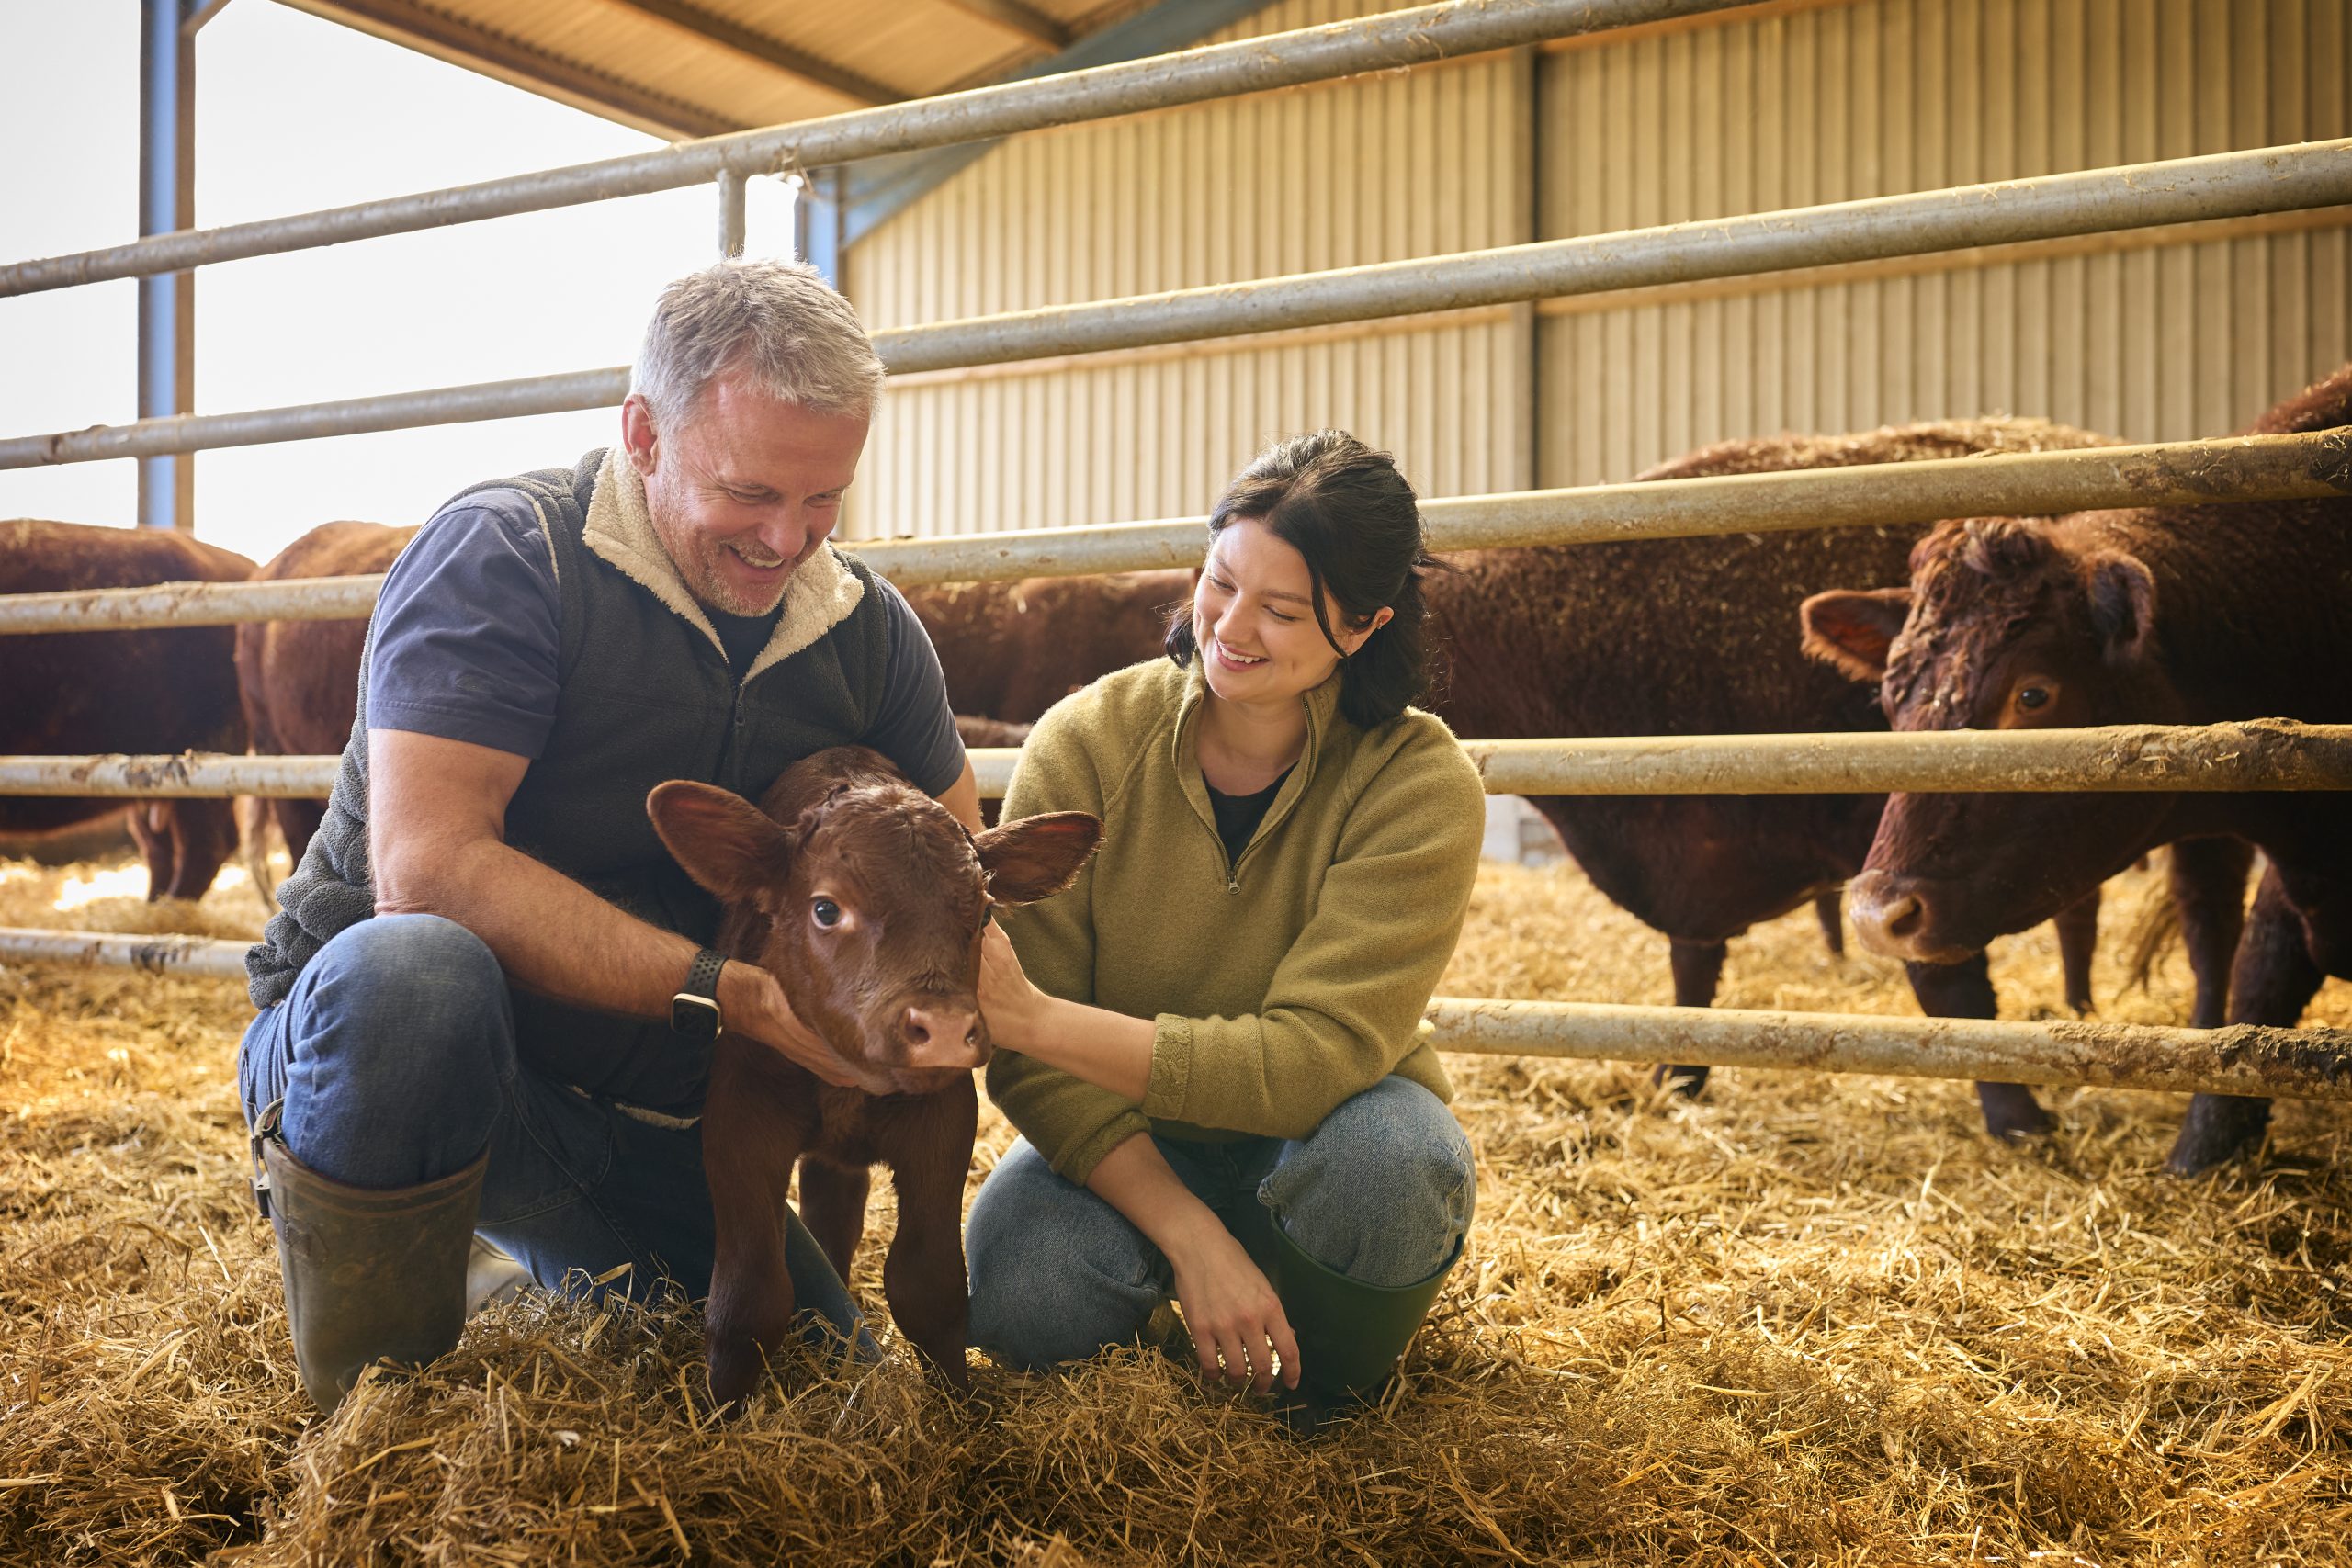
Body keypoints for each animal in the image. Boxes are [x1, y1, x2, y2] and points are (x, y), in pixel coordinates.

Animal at [649, 742, 1095, 1401]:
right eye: (825, 908)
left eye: (985, 913)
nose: (943, 1028)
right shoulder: (740, 1113)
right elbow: (748, 1299)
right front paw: (718, 1411)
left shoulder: (943, 1119)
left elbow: (929, 1287)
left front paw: (959, 1408)